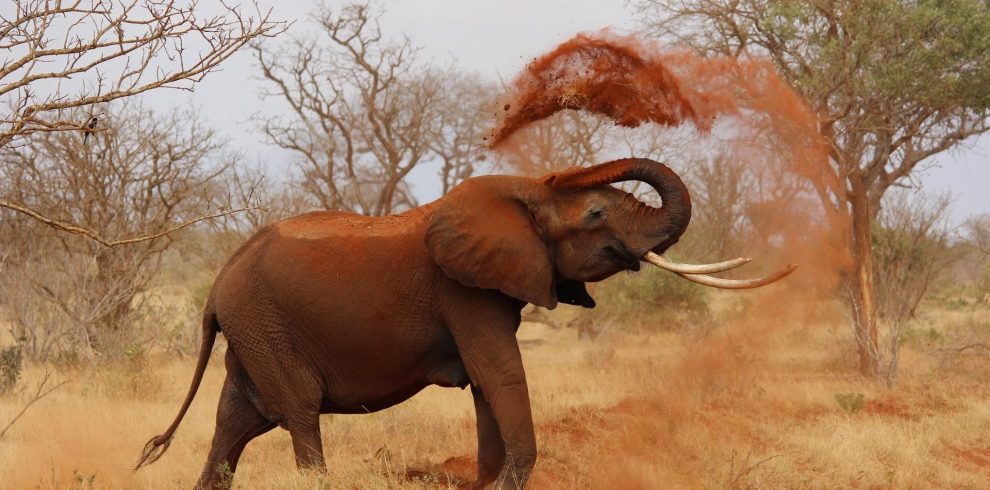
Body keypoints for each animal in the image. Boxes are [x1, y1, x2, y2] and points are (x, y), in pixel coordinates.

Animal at [136, 159, 796, 488]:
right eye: (596, 214)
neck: (521, 194)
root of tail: (216, 284)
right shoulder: (464, 292)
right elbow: (500, 374)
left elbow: (486, 386)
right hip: (264, 325)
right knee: (296, 414)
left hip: (253, 331)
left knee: (234, 425)